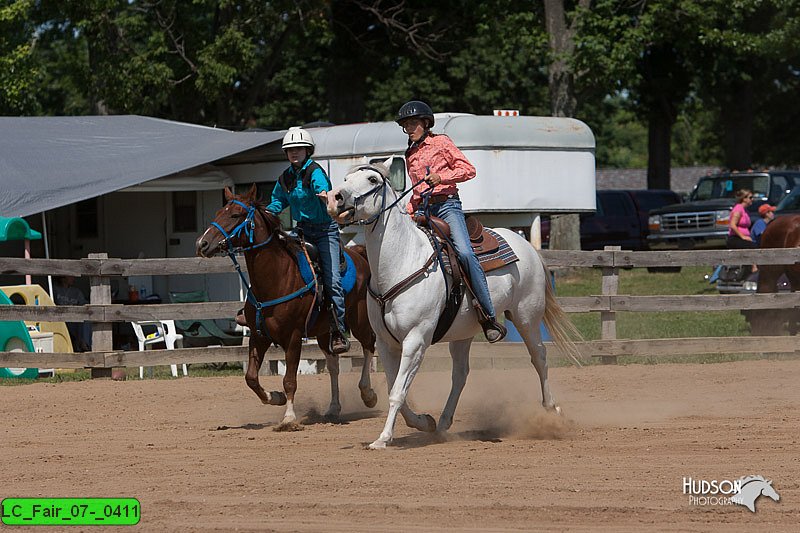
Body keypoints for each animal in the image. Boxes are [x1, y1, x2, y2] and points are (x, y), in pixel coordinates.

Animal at [196, 184, 378, 428]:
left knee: (369, 345)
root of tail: (357, 254)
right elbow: (251, 378)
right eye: (218, 213)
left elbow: (290, 380)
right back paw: (333, 408)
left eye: (235, 215)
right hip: (324, 332)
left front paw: (289, 418)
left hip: (358, 319)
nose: (202, 244)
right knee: (333, 365)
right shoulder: (258, 336)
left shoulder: (293, 337)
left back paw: (368, 394)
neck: (276, 279)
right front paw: (275, 397)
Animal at [326, 162, 580, 448]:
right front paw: (423, 422)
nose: (335, 198)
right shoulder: (385, 342)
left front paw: (382, 439)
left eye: (372, 179)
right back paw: (443, 423)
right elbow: (396, 389)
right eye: (346, 178)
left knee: (539, 358)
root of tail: (525, 244)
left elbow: (397, 392)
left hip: (527, 317)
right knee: (460, 374)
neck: (402, 261)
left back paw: (552, 410)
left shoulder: (416, 340)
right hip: (463, 333)